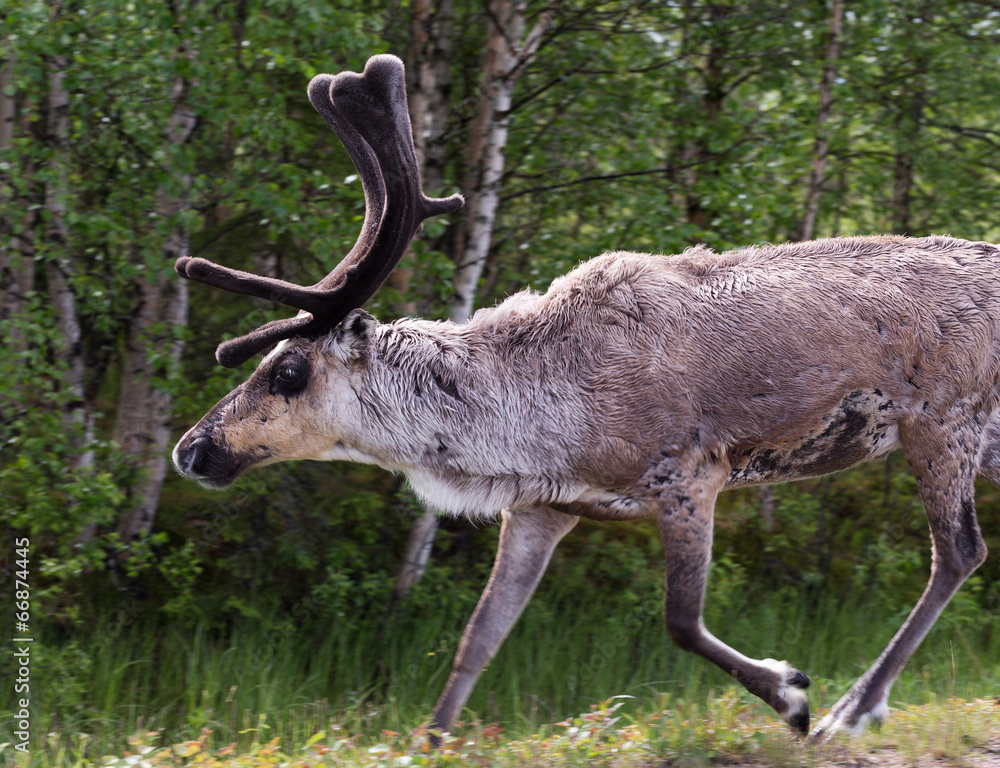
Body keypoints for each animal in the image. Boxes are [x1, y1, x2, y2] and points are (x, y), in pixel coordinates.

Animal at [172, 54, 999, 741]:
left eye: (286, 371)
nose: (191, 448)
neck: (528, 421)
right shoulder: (544, 507)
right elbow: (477, 640)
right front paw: (427, 743)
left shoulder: (688, 475)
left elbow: (680, 620)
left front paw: (792, 693)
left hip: (942, 421)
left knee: (959, 550)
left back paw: (851, 709)